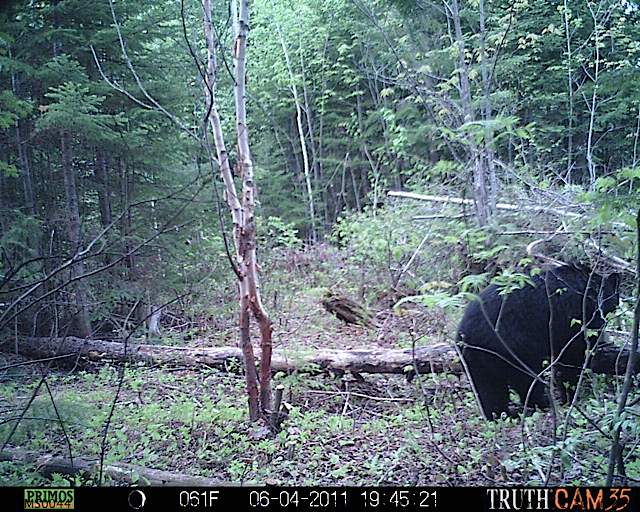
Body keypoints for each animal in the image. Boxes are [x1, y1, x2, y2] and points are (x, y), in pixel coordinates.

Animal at [458, 266, 616, 418]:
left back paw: (500, 414)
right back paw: (542, 402)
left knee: (488, 388)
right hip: (514, 347)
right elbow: (572, 357)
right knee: (526, 378)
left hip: (476, 359)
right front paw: (570, 395)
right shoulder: (576, 319)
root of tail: (468, 333)